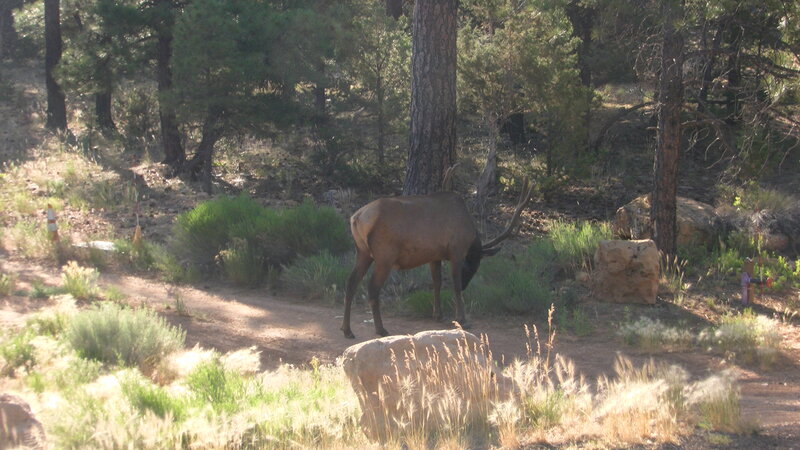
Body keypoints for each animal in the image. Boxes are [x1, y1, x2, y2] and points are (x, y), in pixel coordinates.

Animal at [341, 177, 533, 339]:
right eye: (472, 267)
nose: (466, 285)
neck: (471, 237)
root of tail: (356, 218)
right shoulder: (456, 251)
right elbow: (454, 285)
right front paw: (462, 319)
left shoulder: (435, 256)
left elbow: (437, 283)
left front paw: (438, 315)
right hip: (385, 255)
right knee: (372, 287)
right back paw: (381, 329)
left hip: (363, 252)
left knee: (351, 282)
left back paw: (347, 330)